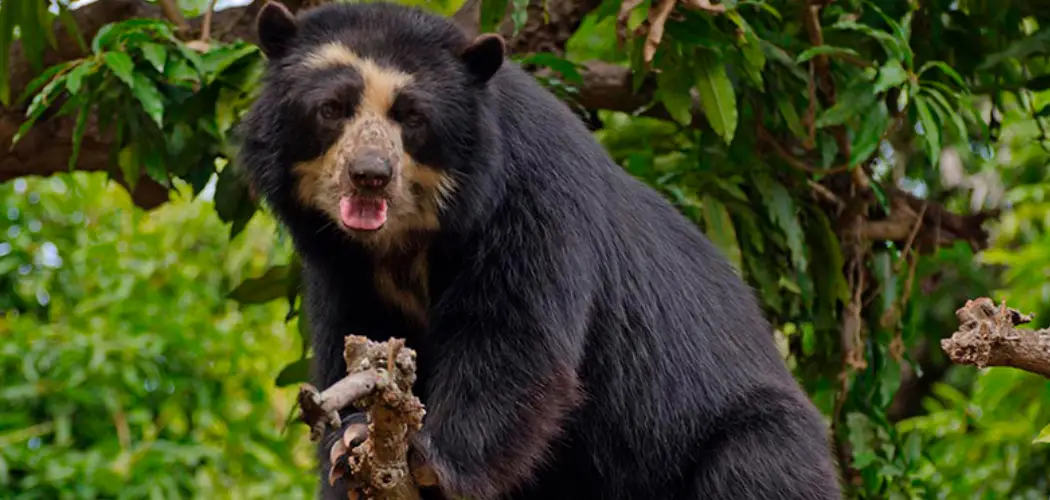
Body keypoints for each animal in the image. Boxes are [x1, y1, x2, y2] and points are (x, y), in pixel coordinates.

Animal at [240, 1, 844, 497]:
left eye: (412, 117)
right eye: (332, 108)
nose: (370, 176)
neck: (408, 240)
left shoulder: (532, 201)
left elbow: (514, 339)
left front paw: (432, 463)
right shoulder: (339, 267)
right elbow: (354, 343)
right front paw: (351, 445)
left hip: (745, 436)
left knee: (751, 469)